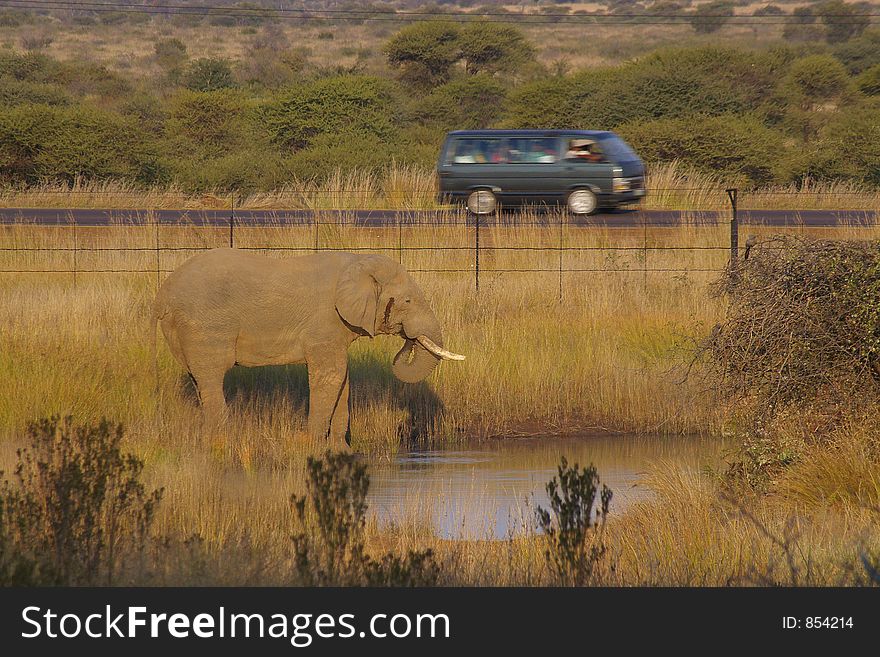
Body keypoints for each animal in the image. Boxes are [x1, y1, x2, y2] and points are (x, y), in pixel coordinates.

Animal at [150, 246, 468, 446]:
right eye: (407, 301)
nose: (408, 340)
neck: (356, 262)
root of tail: (163, 294)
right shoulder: (324, 323)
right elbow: (330, 376)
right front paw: (311, 445)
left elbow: (343, 378)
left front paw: (339, 450)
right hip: (205, 327)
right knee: (212, 377)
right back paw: (222, 442)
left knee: (198, 379)